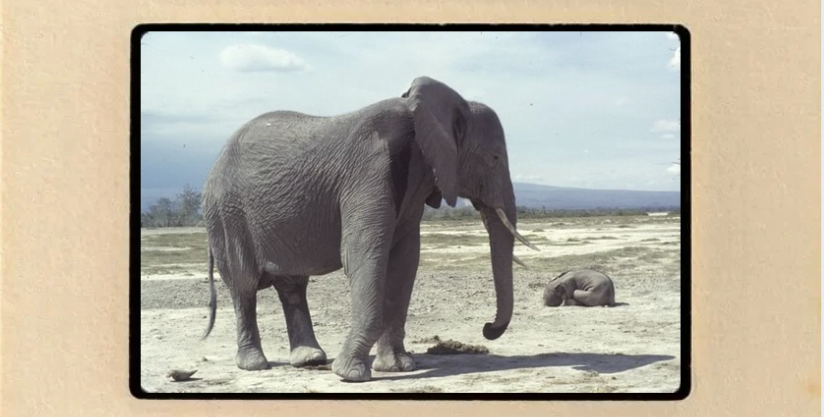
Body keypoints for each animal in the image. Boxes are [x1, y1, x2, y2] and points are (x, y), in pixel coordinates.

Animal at [199, 76, 538, 382]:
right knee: (244, 287)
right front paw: (350, 374)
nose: (487, 328)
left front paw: (398, 367)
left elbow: (404, 263)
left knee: (292, 286)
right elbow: (363, 258)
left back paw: (310, 360)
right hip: (226, 214)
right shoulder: (367, 172)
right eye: (494, 158)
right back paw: (255, 365)